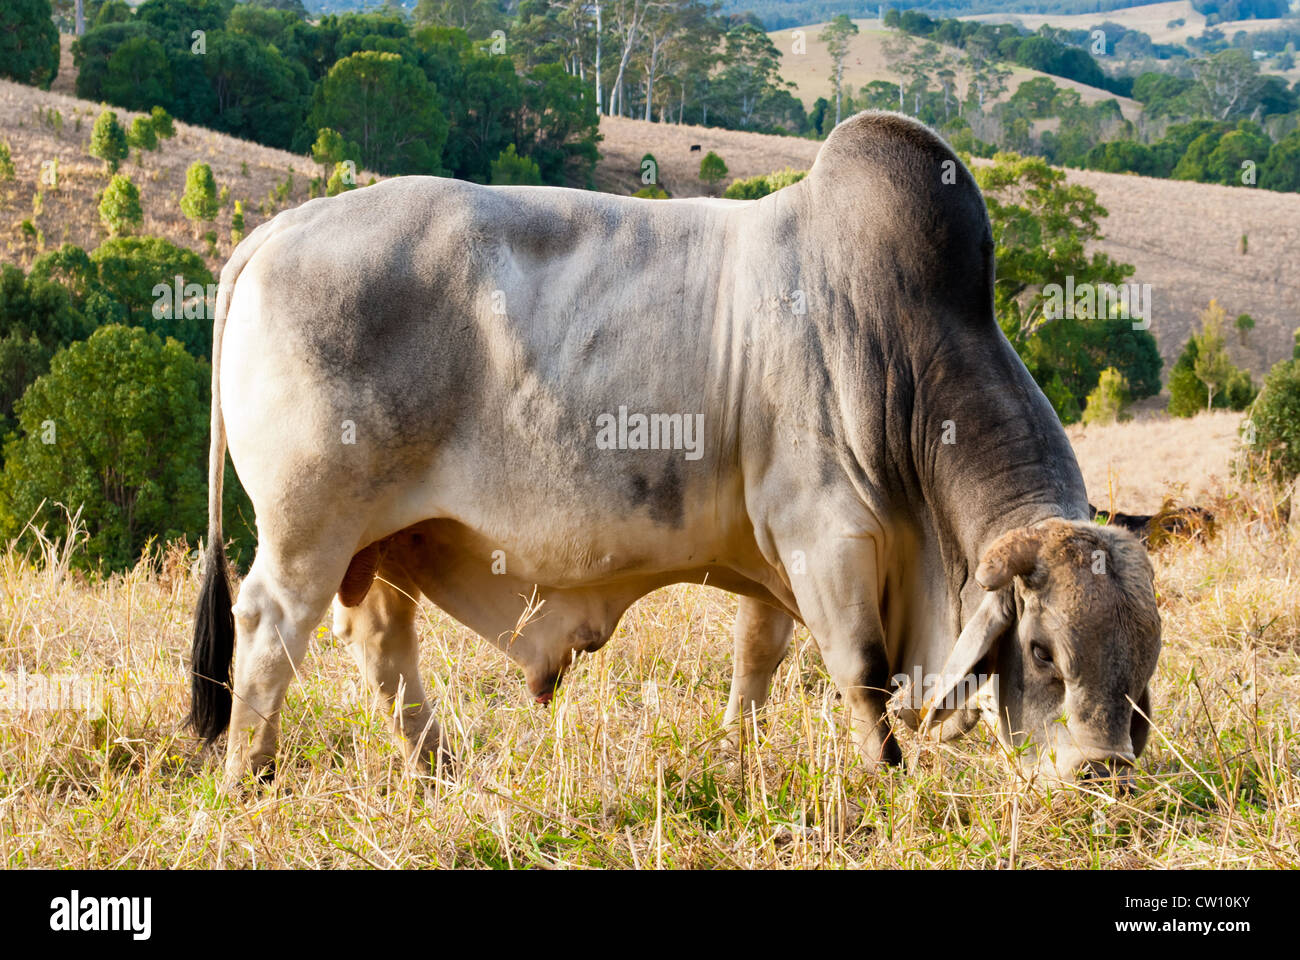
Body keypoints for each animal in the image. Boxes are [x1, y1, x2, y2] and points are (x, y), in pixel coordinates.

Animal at [188, 110, 1164, 785]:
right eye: (1042, 651)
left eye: (1146, 656)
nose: (1104, 771)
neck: (899, 348)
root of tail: (276, 231)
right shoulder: (827, 539)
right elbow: (863, 675)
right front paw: (888, 779)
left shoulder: (778, 558)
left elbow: (757, 662)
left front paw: (737, 756)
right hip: (310, 530)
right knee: (271, 628)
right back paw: (250, 776)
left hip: (385, 537)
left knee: (383, 646)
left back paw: (437, 772)